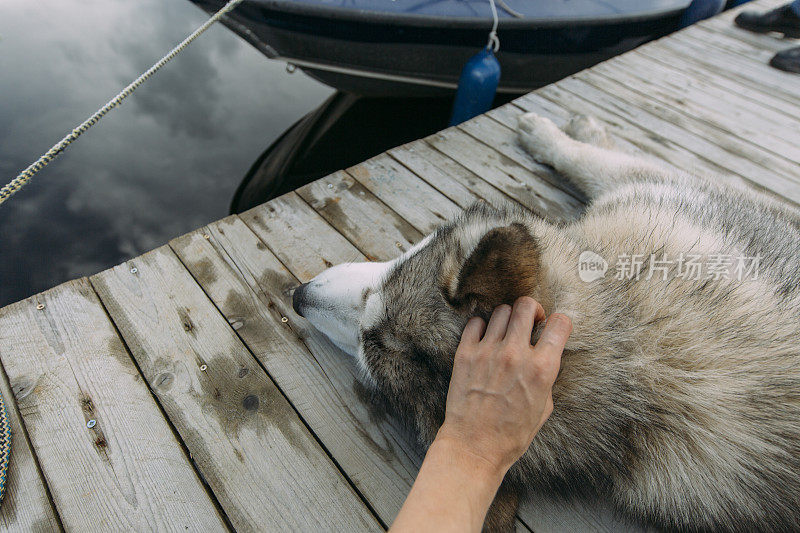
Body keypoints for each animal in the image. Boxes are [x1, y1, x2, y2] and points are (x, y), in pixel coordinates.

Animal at [292, 112, 800, 532]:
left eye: (369, 310)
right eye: (364, 345)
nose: (297, 298)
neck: (632, 354)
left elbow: (596, 159)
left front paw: (557, 135)